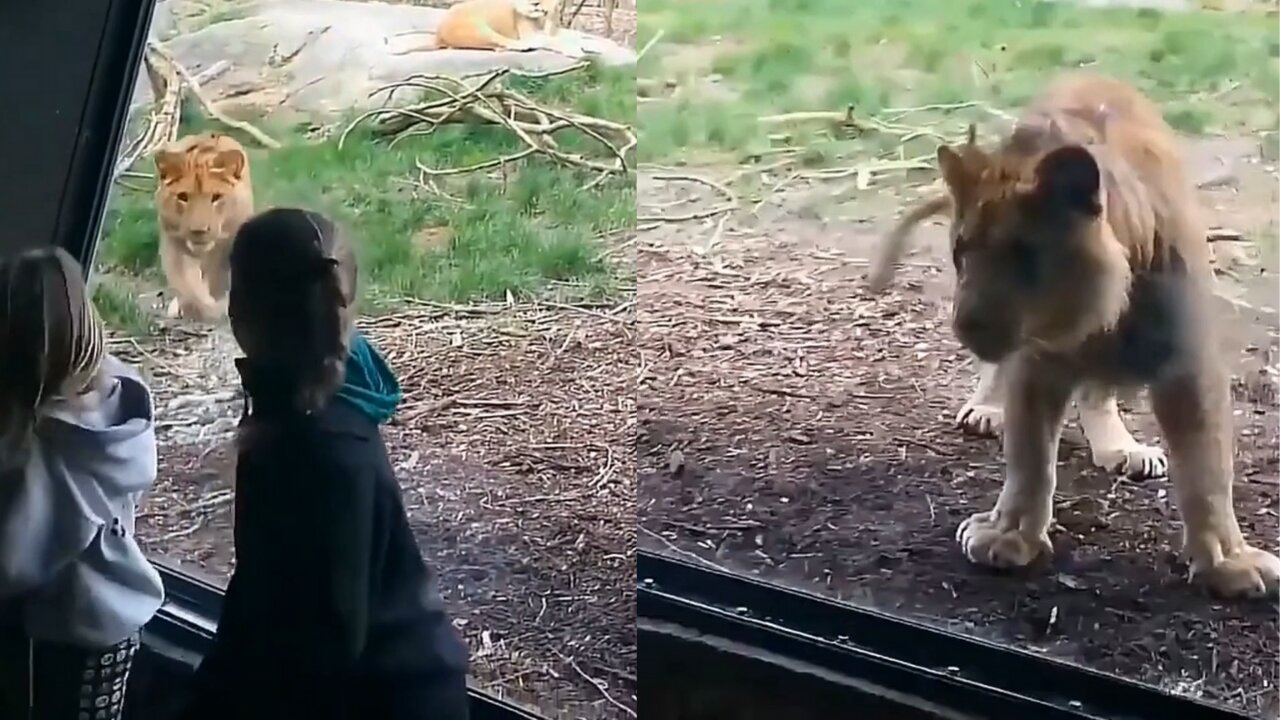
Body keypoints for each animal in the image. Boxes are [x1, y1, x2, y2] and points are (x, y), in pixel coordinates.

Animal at [153, 131, 253, 322]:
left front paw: (216, 308)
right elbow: (187, 284)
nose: (198, 231)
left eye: (216, 197)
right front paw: (196, 307)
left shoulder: (226, 244)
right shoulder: (173, 240)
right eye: (183, 197)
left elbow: (216, 278)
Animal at [875, 74, 1274, 599]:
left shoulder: (1188, 365)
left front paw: (1229, 562)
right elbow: (1029, 460)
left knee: (1098, 392)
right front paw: (1007, 535)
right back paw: (987, 410)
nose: (965, 324)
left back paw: (1122, 449)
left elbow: (1207, 472)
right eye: (961, 252)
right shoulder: (1034, 365)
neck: (1094, 317)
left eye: (1023, 254)